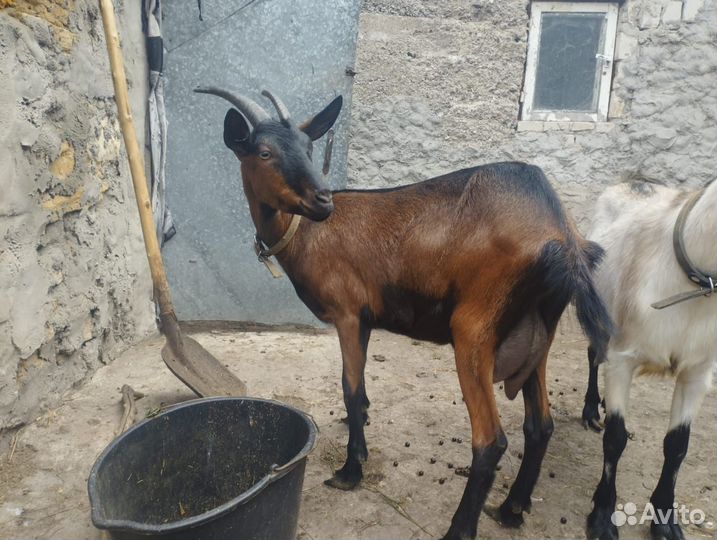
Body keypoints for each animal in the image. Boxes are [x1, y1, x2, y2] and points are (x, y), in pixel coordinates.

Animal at [195, 86, 613, 540]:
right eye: (266, 152)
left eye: (308, 147)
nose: (322, 199)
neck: (307, 235)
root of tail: (561, 236)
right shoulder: (365, 319)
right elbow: (359, 390)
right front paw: (358, 433)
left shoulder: (348, 313)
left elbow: (349, 386)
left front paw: (350, 470)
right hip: (538, 335)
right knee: (540, 426)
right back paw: (511, 509)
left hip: (474, 329)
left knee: (491, 440)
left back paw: (459, 529)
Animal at [584, 180, 716, 540]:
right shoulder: (622, 358)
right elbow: (614, 439)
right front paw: (602, 517)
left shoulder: (697, 372)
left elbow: (678, 445)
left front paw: (665, 520)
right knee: (592, 356)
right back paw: (590, 410)